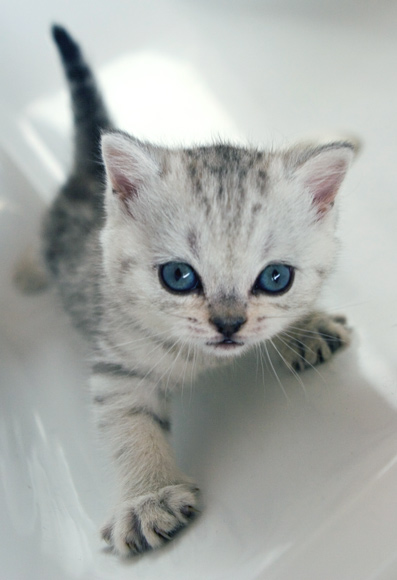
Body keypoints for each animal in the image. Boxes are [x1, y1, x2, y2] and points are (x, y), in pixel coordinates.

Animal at [28, 24, 356, 556]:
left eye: (276, 278)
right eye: (179, 277)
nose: (228, 324)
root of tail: (87, 173)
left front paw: (305, 326)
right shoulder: (117, 362)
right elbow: (130, 425)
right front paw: (147, 497)